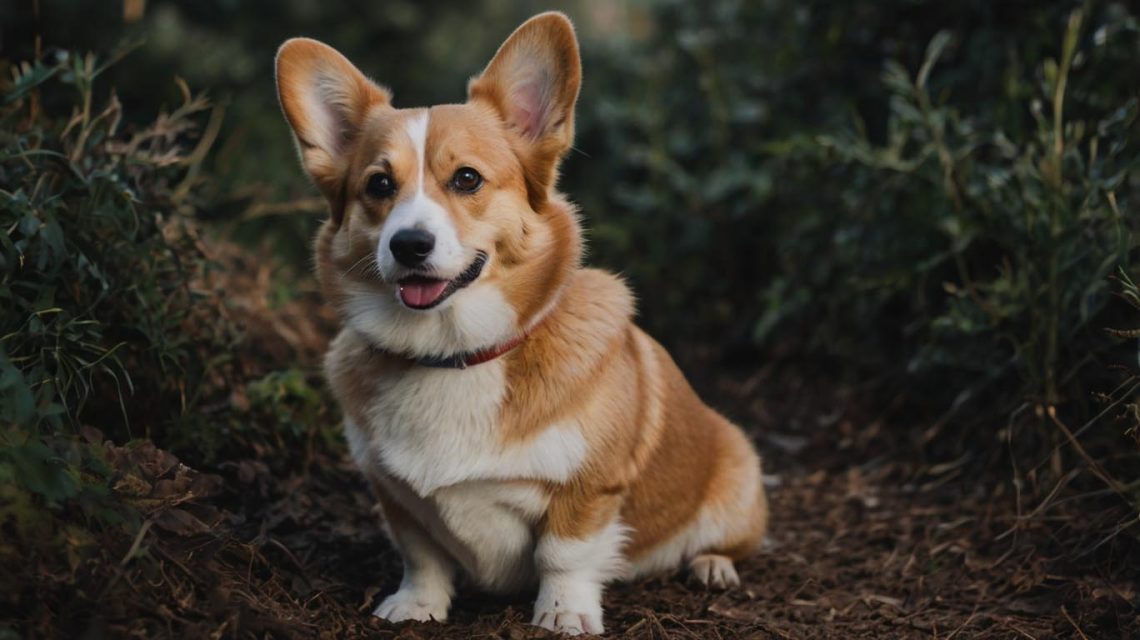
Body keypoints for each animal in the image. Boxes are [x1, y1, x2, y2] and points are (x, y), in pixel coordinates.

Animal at [278, 9, 766, 634]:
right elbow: (421, 554)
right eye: (378, 185)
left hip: (737, 473)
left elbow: (565, 554)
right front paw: (417, 605)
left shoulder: (589, 488)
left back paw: (711, 565)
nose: (409, 244)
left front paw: (563, 613)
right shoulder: (396, 496)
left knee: (727, 543)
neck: (454, 356)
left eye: (467, 179)